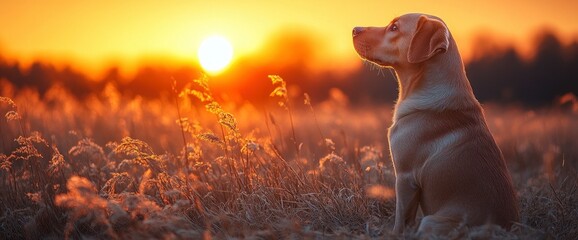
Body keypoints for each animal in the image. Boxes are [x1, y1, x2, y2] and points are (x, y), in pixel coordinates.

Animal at [352, 12, 516, 234]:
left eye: (394, 27)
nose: (354, 29)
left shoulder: (404, 177)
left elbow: (400, 219)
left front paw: (393, 235)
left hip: (431, 220)